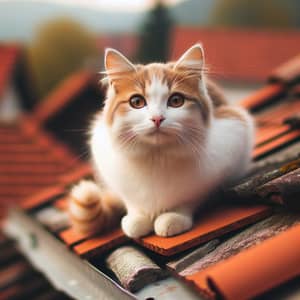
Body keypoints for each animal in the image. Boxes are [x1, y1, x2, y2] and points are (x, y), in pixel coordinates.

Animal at [69, 43, 254, 238]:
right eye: (136, 102)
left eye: (176, 100)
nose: (157, 118)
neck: (156, 157)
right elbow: (131, 201)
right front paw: (137, 218)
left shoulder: (233, 137)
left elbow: (191, 197)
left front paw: (174, 217)